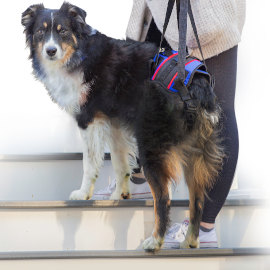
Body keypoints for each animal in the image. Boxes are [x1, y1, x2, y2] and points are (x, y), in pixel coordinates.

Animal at [21, 0, 224, 250]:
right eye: (41, 32)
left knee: (163, 197)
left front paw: (83, 193)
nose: (50, 51)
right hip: (194, 151)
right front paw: (119, 195)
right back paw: (190, 241)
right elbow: (120, 164)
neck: (79, 55)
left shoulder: (88, 119)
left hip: (151, 144)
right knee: (197, 198)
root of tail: (195, 86)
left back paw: (155, 241)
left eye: (63, 31)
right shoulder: (114, 122)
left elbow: (89, 163)